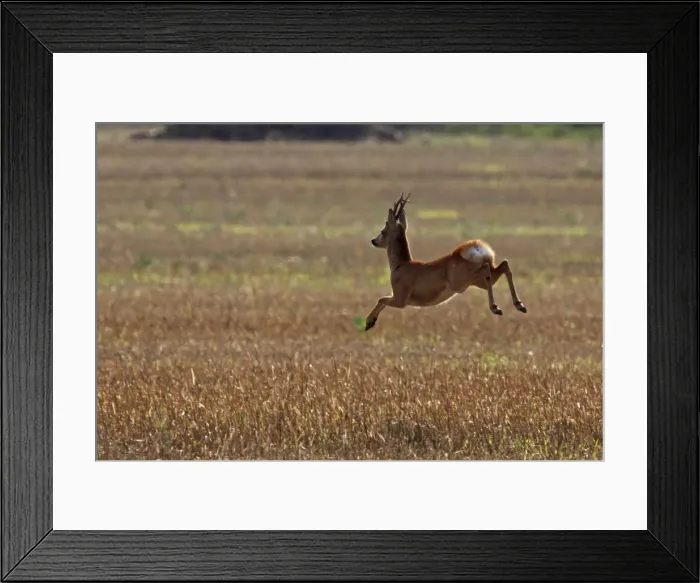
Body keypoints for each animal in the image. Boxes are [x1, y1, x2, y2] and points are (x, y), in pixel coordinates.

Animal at [365, 193, 527, 331]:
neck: (401, 265)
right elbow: (381, 300)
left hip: (461, 282)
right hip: (479, 280)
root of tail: (474, 249)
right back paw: (519, 305)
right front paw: (370, 323)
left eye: (383, 230)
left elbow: (381, 299)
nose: (373, 241)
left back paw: (496, 308)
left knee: (487, 268)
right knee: (503, 265)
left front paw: (368, 322)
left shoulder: (400, 299)